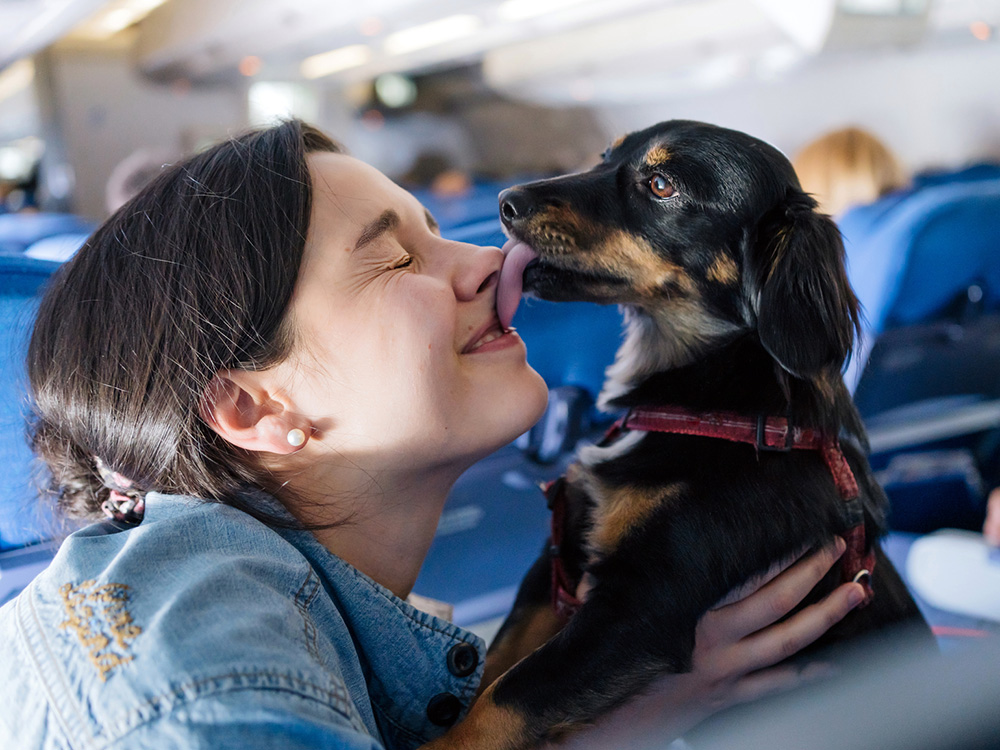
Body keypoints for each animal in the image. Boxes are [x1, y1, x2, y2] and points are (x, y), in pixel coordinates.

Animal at [428, 122, 928, 750]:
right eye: (605, 157)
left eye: (662, 185)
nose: (505, 201)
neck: (702, 406)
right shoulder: (558, 561)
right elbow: (495, 664)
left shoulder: (642, 605)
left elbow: (503, 700)